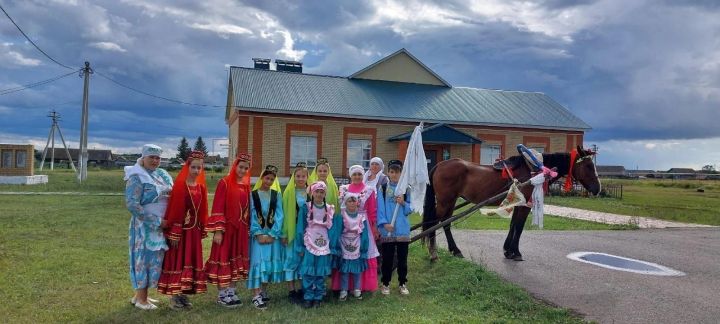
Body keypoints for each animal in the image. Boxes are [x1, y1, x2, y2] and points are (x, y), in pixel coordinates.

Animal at [422, 146, 600, 262]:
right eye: (588, 166)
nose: (597, 189)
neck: (533, 170)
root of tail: (439, 165)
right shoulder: (524, 205)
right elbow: (519, 227)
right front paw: (516, 252)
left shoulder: (517, 204)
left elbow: (513, 225)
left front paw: (508, 250)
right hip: (445, 201)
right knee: (435, 223)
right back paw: (434, 252)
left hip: (450, 201)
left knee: (445, 223)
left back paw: (454, 250)